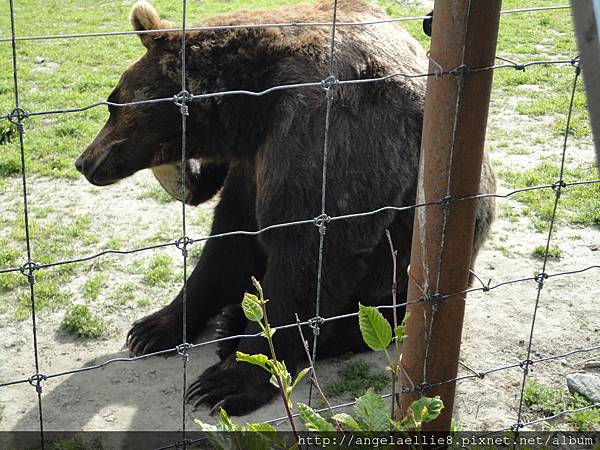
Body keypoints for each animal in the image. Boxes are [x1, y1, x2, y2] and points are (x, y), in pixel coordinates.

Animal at [76, 0, 496, 414]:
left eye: (113, 103)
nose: (84, 161)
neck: (252, 105)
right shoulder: (253, 160)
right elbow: (228, 242)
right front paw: (152, 328)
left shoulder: (328, 131)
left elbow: (307, 251)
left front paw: (226, 383)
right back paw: (230, 320)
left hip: (409, 270)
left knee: (379, 314)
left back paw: (245, 332)